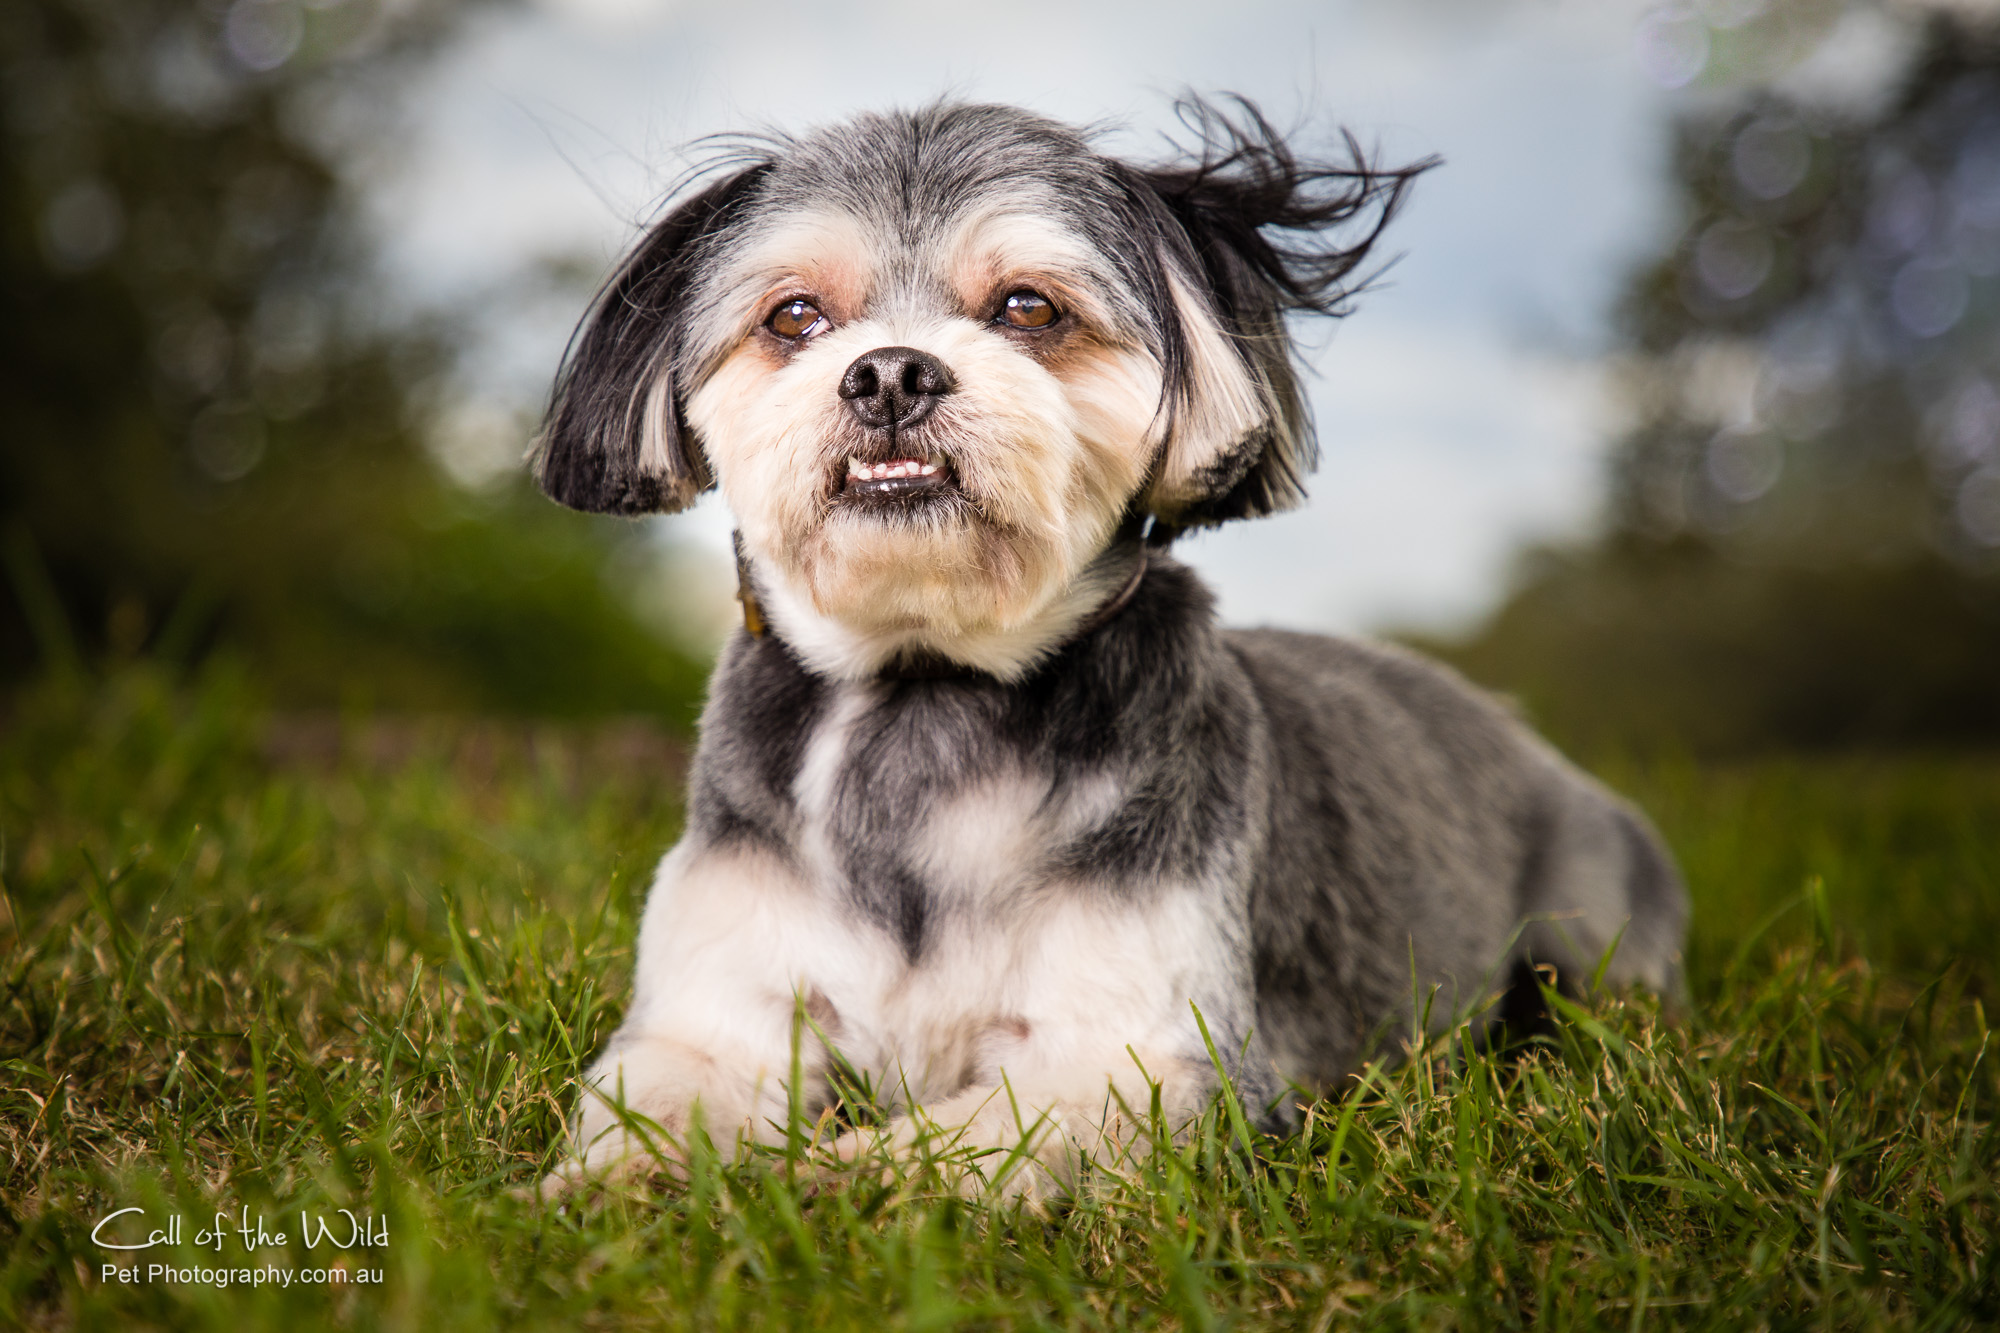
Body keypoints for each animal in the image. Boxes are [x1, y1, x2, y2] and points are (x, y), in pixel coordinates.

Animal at [532, 98, 1688, 1184]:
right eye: (795, 315)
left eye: (1027, 307)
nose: (891, 374)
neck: (924, 680)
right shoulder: (712, 1015)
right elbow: (658, 1107)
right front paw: (613, 1191)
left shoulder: (1142, 1060)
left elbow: (955, 1149)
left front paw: (836, 1183)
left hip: (1585, 940)